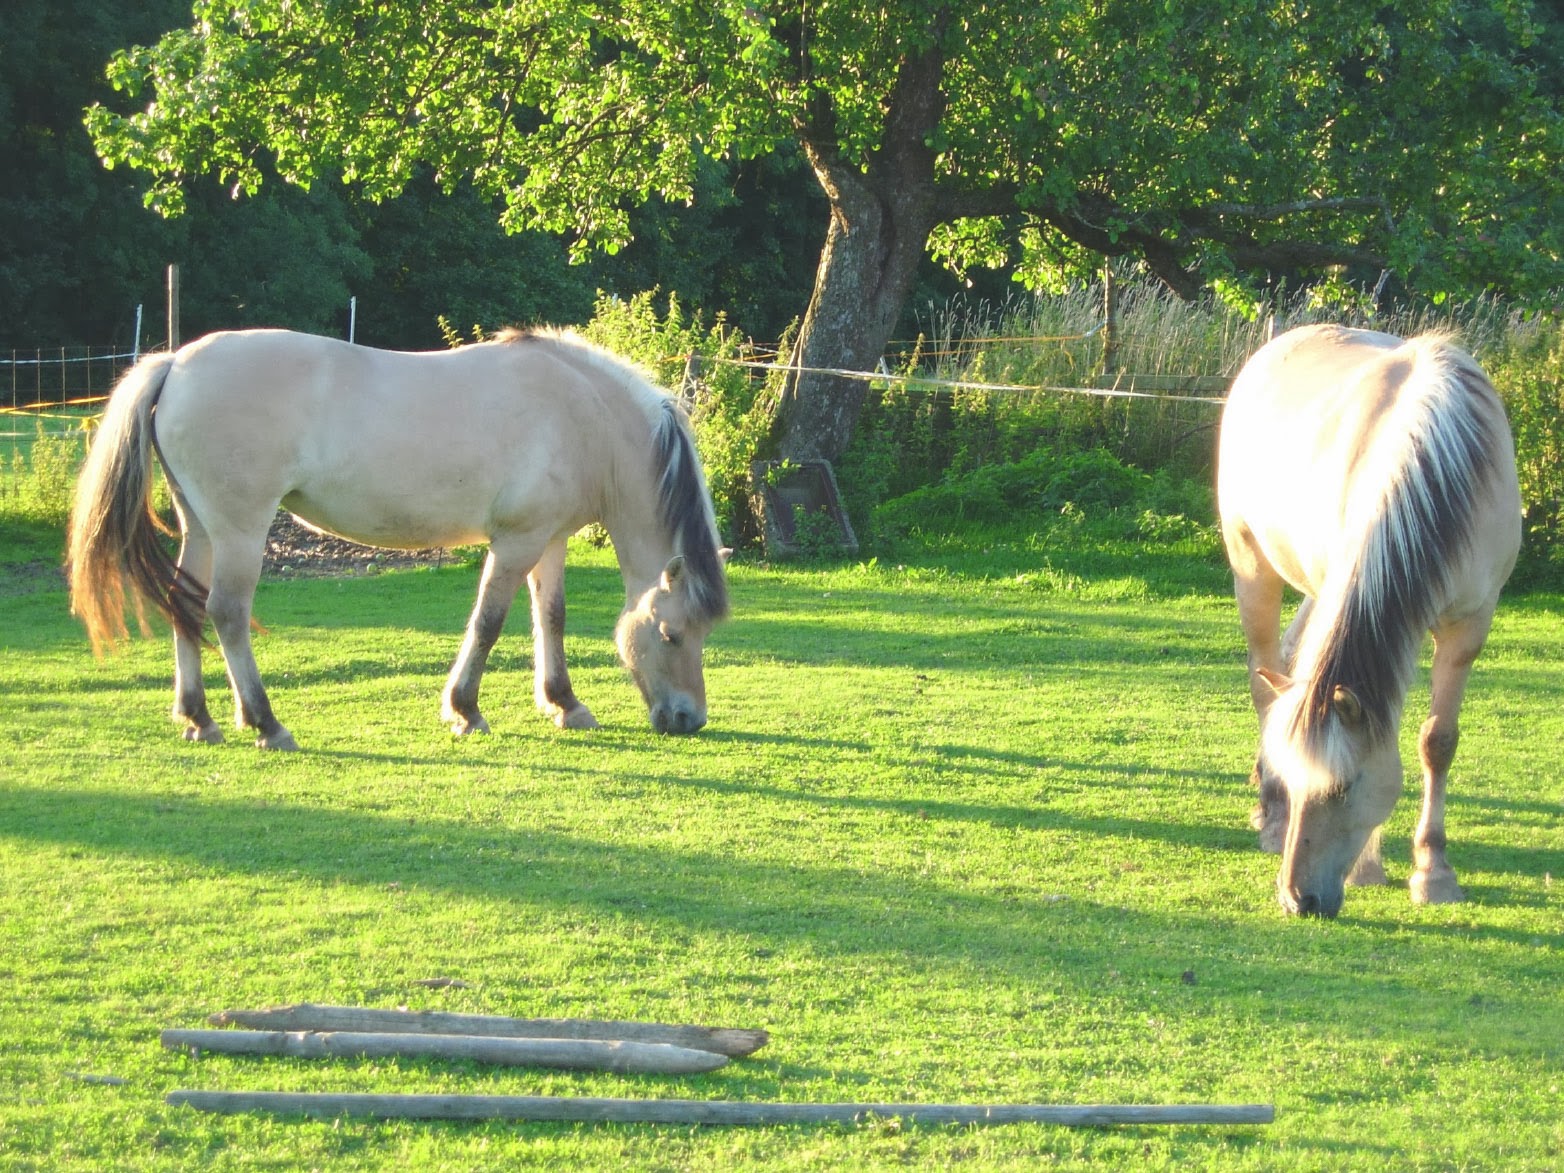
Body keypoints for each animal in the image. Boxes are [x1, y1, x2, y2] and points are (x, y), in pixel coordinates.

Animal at [68, 327, 730, 750]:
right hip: (240, 531)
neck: (581, 412)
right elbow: (489, 623)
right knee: (227, 612)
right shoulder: (516, 542)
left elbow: (552, 618)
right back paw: (265, 723)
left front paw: (563, 703)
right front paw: (465, 710)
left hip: (201, 528)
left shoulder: (549, 540)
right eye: (671, 634)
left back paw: (198, 718)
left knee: (184, 604)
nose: (689, 718)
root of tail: (175, 363)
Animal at [1217, 324, 1520, 918]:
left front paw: (1433, 871)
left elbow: (1437, 741)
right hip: (1254, 567)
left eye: (1343, 788)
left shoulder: (1470, 625)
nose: (1298, 899)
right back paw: (1270, 817)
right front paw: (1368, 867)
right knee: (1264, 682)